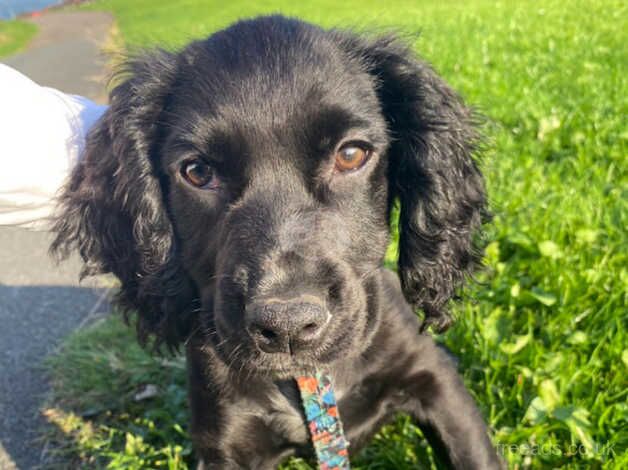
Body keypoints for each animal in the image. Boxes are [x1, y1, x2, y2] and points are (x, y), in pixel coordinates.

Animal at [50, 14, 500, 470]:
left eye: (351, 155)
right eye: (197, 171)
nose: (289, 327)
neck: (307, 379)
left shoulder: (435, 377)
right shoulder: (224, 444)